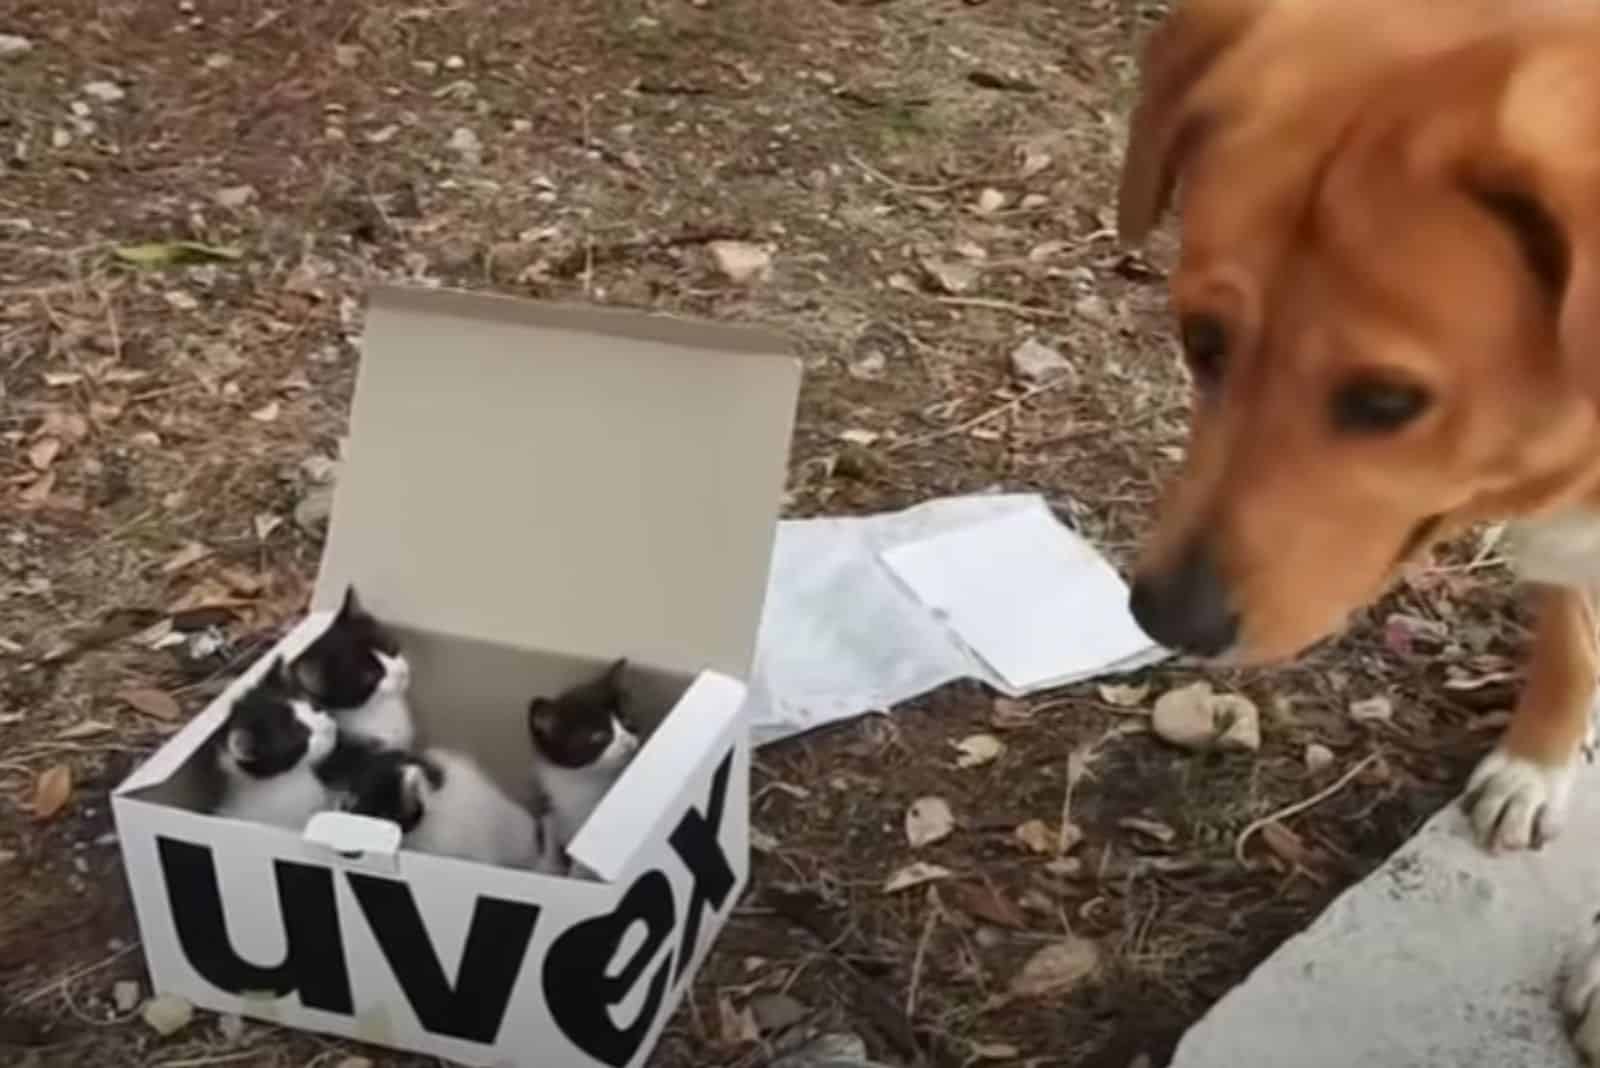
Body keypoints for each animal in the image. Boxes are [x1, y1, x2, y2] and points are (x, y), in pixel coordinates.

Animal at [531, 655, 643, 856]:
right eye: (599, 736)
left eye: (627, 721)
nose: (629, 743)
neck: (585, 779)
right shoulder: (547, 800)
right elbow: (549, 828)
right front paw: (548, 861)